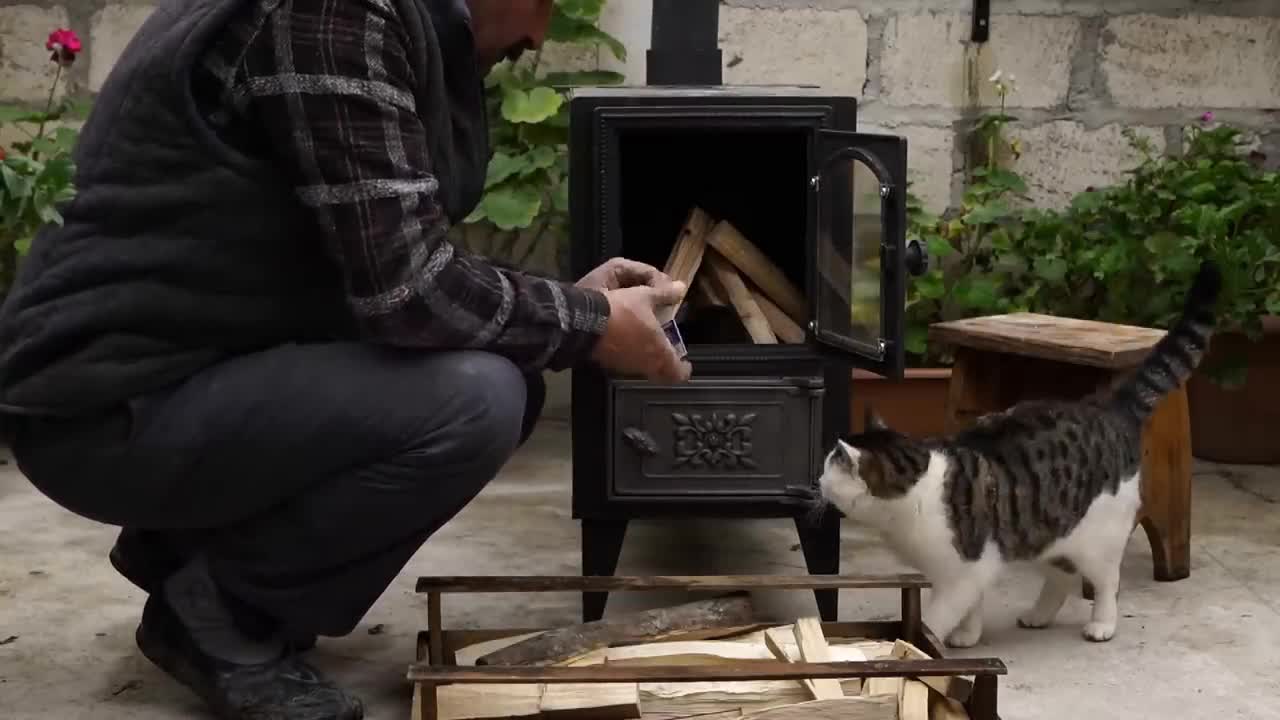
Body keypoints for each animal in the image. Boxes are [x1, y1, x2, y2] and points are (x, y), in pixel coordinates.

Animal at [814, 260, 1223, 640]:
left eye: (828, 467)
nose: (816, 479)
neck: (913, 494)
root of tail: (1110, 409)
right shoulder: (974, 570)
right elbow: (972, 608)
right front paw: (968, 636)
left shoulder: (960, 575)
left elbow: (936, 618)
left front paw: (925, 641)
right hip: (1043, 531)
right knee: (1061, 577)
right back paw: (1038, 616)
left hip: (1096, 540)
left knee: (1107, 581)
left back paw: (1102, 624)